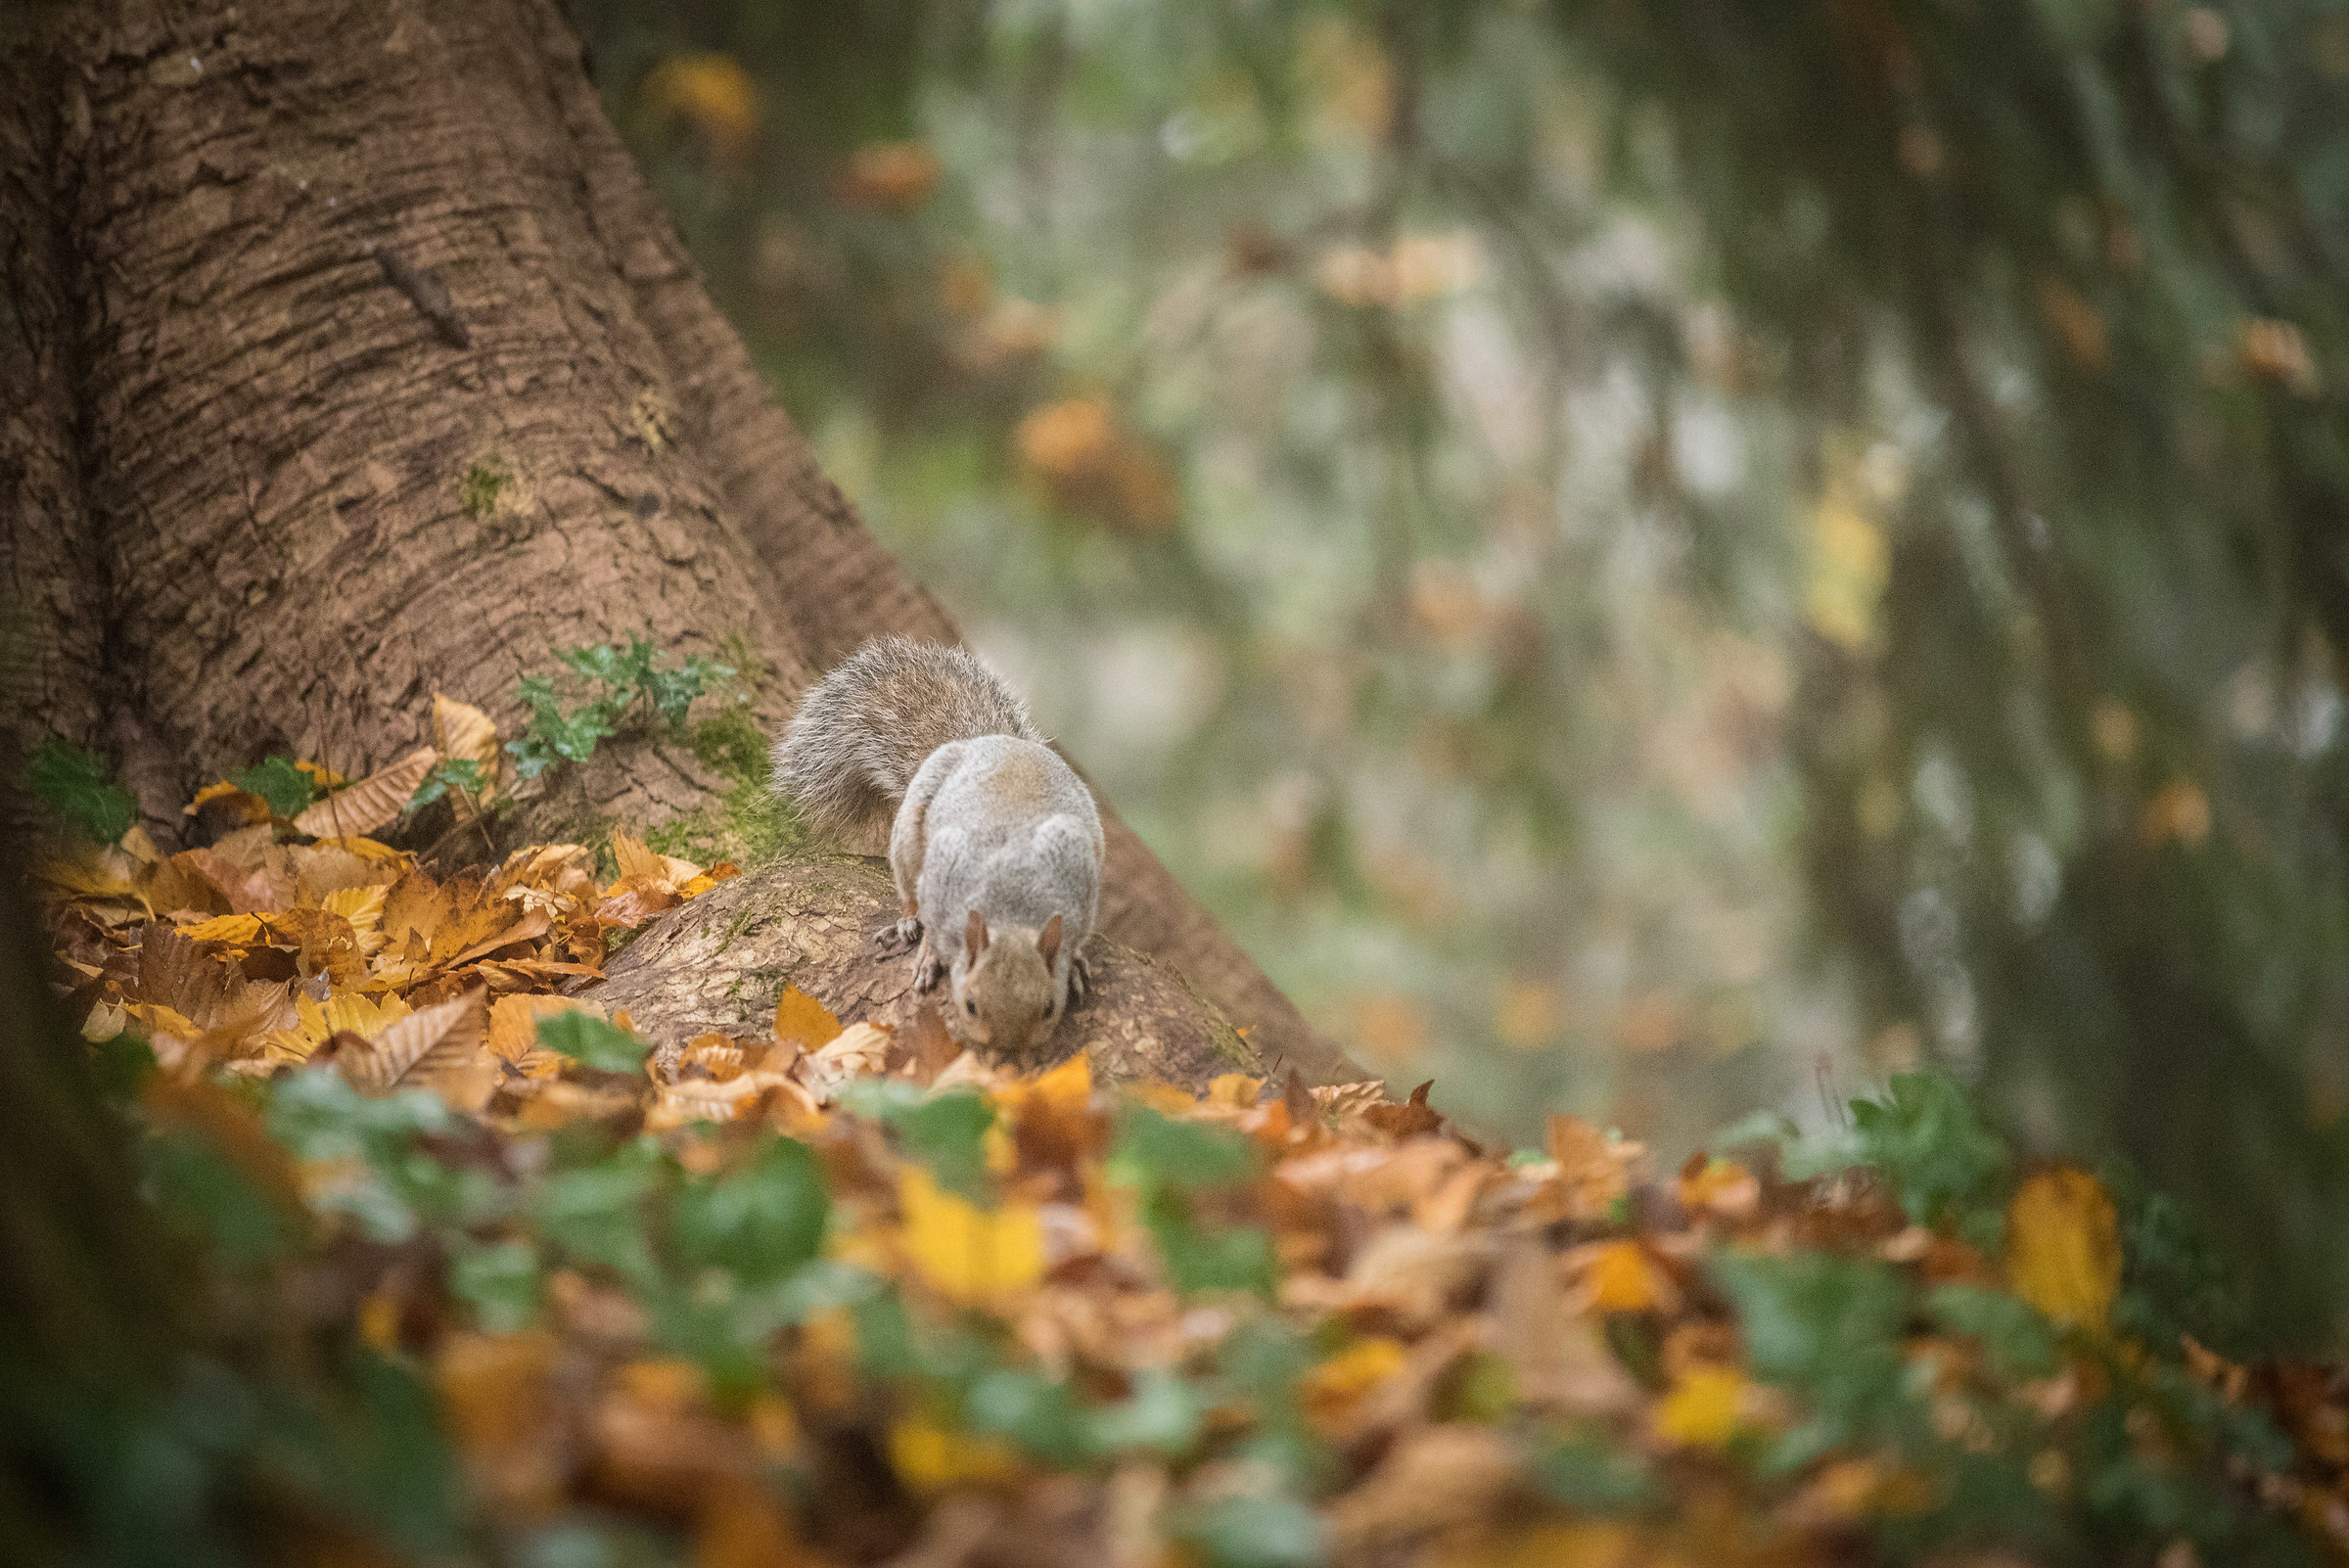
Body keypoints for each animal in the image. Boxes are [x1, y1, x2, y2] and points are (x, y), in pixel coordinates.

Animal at [772, 636, 1103, 1055]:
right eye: (971, 1004)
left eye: (1048, 1007)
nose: (1007, 1050)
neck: (1010, 907)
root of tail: (981, 742)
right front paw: (929, 953)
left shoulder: (1080, 878)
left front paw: (1072, 962)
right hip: (908, 835)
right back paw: (907, 920)